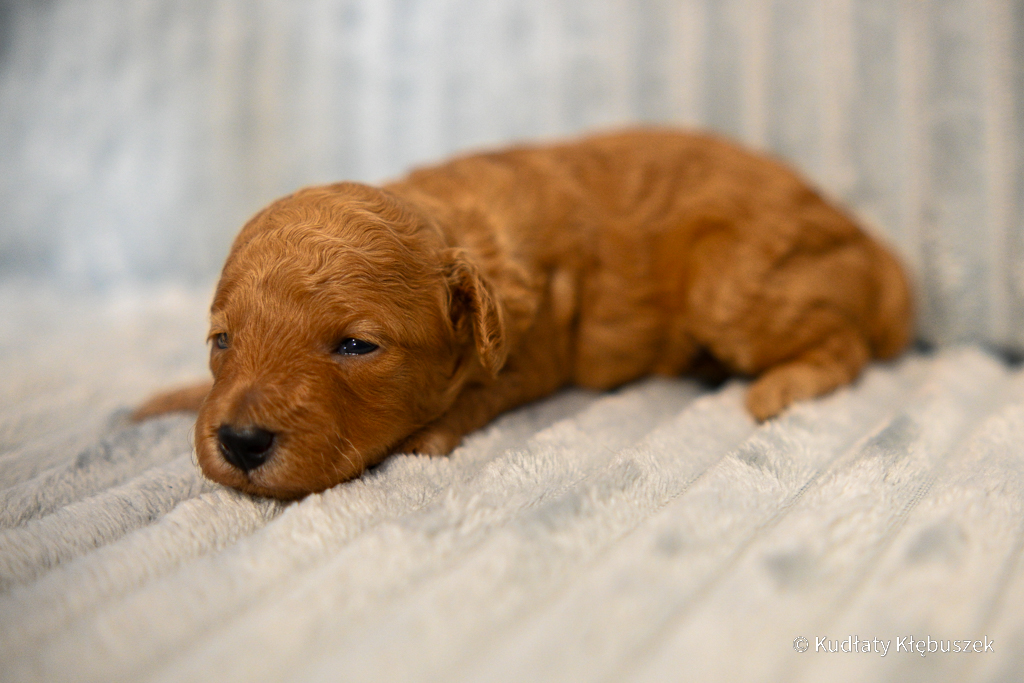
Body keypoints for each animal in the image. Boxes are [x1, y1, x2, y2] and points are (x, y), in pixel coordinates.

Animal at [133, 128, 913, 499]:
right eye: (222, 340)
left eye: (356, 346)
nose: (241, 442)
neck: (456, 227)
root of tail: (882, 256)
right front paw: (163, 400)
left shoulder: (537, 347)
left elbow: (484, 391)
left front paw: (430, 434)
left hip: (738, 287)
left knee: (846, 343)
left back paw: (780, 387)